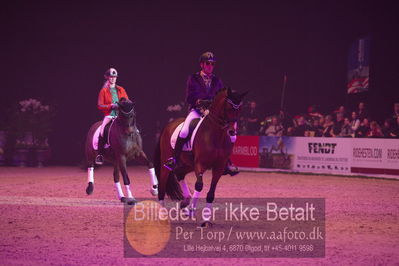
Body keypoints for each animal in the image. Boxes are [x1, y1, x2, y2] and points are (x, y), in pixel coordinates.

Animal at [155, 88, 247, 225]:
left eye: (240, 108)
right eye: (228, 108)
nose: (232, 131)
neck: (216, 135)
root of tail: (168, 126)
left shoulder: (218, 167)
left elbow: (211, 193)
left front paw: (206, 220)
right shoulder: (200, 164)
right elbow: (199, 185)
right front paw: (191, 210)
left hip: (188, 164)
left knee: (180, 173)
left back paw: (185, 202)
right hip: (166, 163)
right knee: (162, 186)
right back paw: (163, 215)